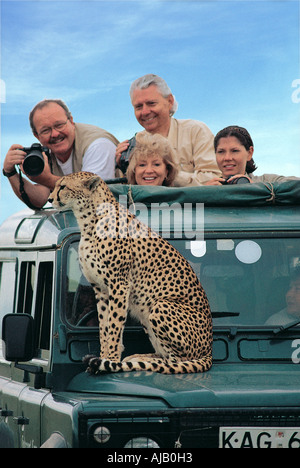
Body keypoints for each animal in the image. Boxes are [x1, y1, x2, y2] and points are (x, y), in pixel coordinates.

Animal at [49, 174, 212, 374]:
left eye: (63, 186)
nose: (50, 199)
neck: (90, 221)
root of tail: (210, 352)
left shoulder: (119, 285)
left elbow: (114, 326)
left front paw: (109, 361)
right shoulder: (100, 289)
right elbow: (104, 327)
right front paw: (103, 358)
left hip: (159, 305)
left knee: (176, 362)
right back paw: (139, 357)